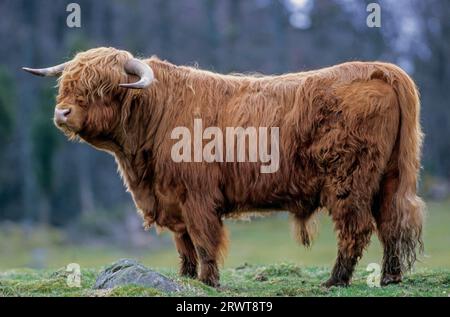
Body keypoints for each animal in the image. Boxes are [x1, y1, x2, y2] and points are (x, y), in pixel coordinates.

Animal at [23, 47, 426, 286]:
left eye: (103, 87)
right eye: (67, 83)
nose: (62, 113)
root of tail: (378, 69)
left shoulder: (198, 197)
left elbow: (203, 241)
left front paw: (208, 281)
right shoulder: (173, 199)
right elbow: (183, 243)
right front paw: (186, 278)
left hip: (349, 180)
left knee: (356, 228)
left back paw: (335, 281)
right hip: (389, 177)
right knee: (391, 222)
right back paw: (390, 278)